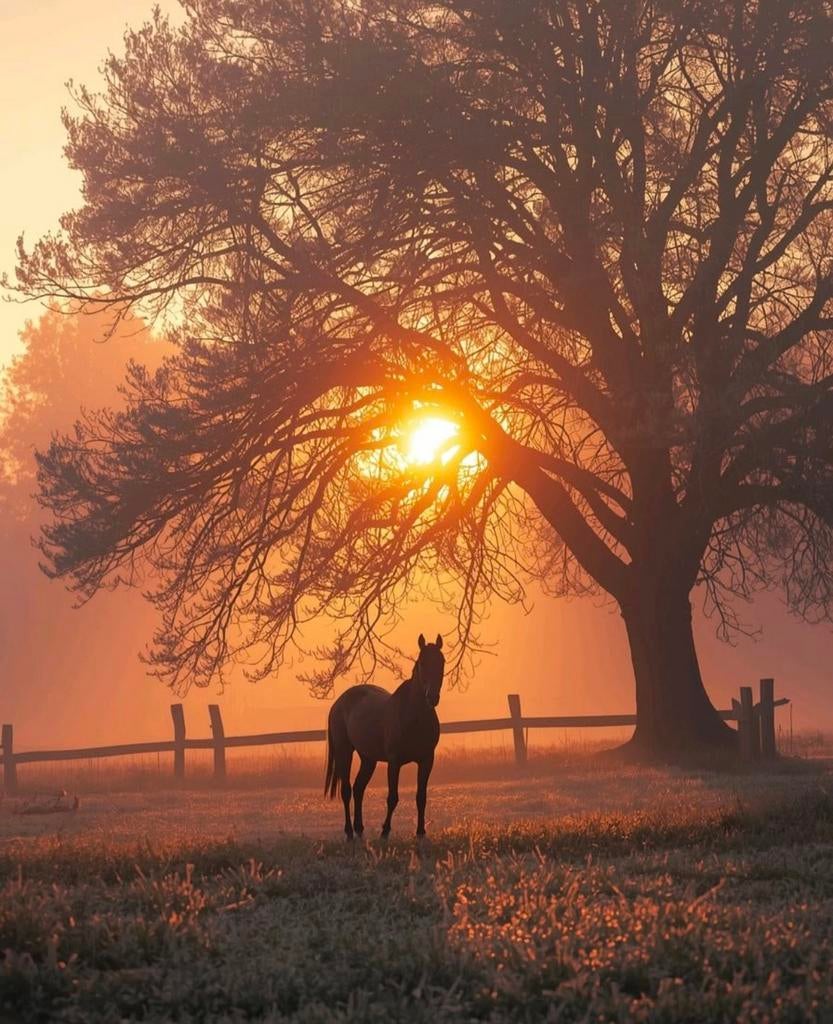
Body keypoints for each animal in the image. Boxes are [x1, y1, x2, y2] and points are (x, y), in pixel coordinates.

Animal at [324, 633, 445, 839]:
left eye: (442, 662)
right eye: (422, 662)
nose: (432, 697)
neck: (413, 716)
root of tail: (338, 703)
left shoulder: (427, 760)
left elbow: (421, 797)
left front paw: (421, 832)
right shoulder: (394, 761)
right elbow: (392, 797)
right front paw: (385, 831)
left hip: (368, 759)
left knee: (358, 789)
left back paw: (359, 829)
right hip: (344, 751)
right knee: (347, 790)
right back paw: (349, 832)